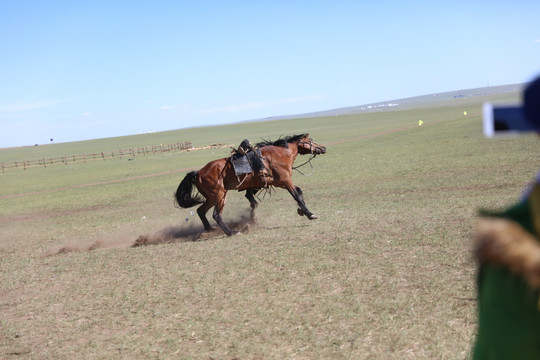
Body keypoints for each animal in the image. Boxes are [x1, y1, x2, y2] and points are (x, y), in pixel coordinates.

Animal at [174, 133, 324, 236]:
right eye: (311, 141)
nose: (323, 148)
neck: (280, 154)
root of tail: (198, 173)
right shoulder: (286, 181)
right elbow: (296, 195)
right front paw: (309, 214)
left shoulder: (276, 182)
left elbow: (299, 192)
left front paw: (301, 210)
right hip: (219, 195)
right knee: (216, 215)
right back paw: (231, 232)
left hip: (212, 197)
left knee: (201, 211)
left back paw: (210, 228)